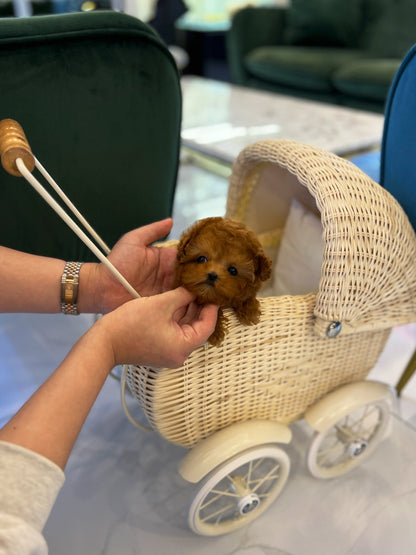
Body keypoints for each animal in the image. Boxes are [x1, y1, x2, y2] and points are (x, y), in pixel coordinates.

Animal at [174, 218, 272, 346]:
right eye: (201, 259)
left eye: (233, 270)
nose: (212, 275)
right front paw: (215, 332)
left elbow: (246, 297)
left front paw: (249, 311)